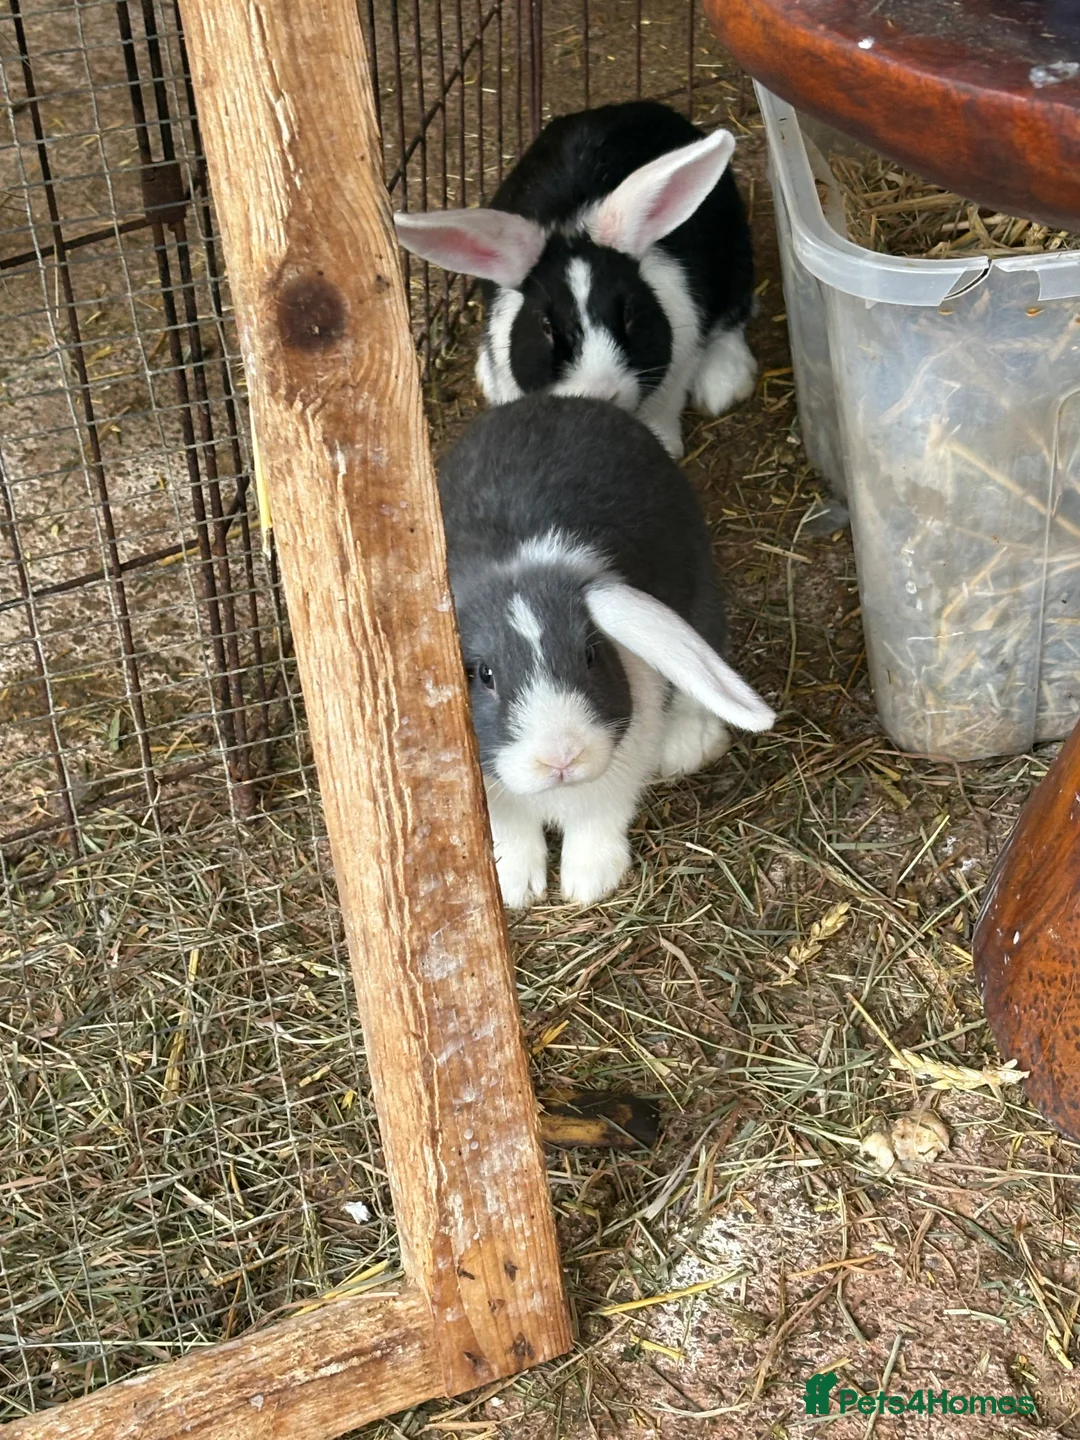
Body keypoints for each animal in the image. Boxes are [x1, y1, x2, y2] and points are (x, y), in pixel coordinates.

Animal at [396, 100, 756, 460]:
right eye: (545, 325)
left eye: (628, 313)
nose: (600, 392)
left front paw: (665, 446)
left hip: (738, 259)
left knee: (734, 317)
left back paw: (724, 385)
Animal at [437, 394, 775, 909]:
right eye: (484, 674)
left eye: (590, 656)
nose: (561, 758)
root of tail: (562, 399)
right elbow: (508, 833)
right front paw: (514, 887)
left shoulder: (616, 776)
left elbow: (597, 821)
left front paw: (589, 882)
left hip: (700, 600)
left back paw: (688, 747)